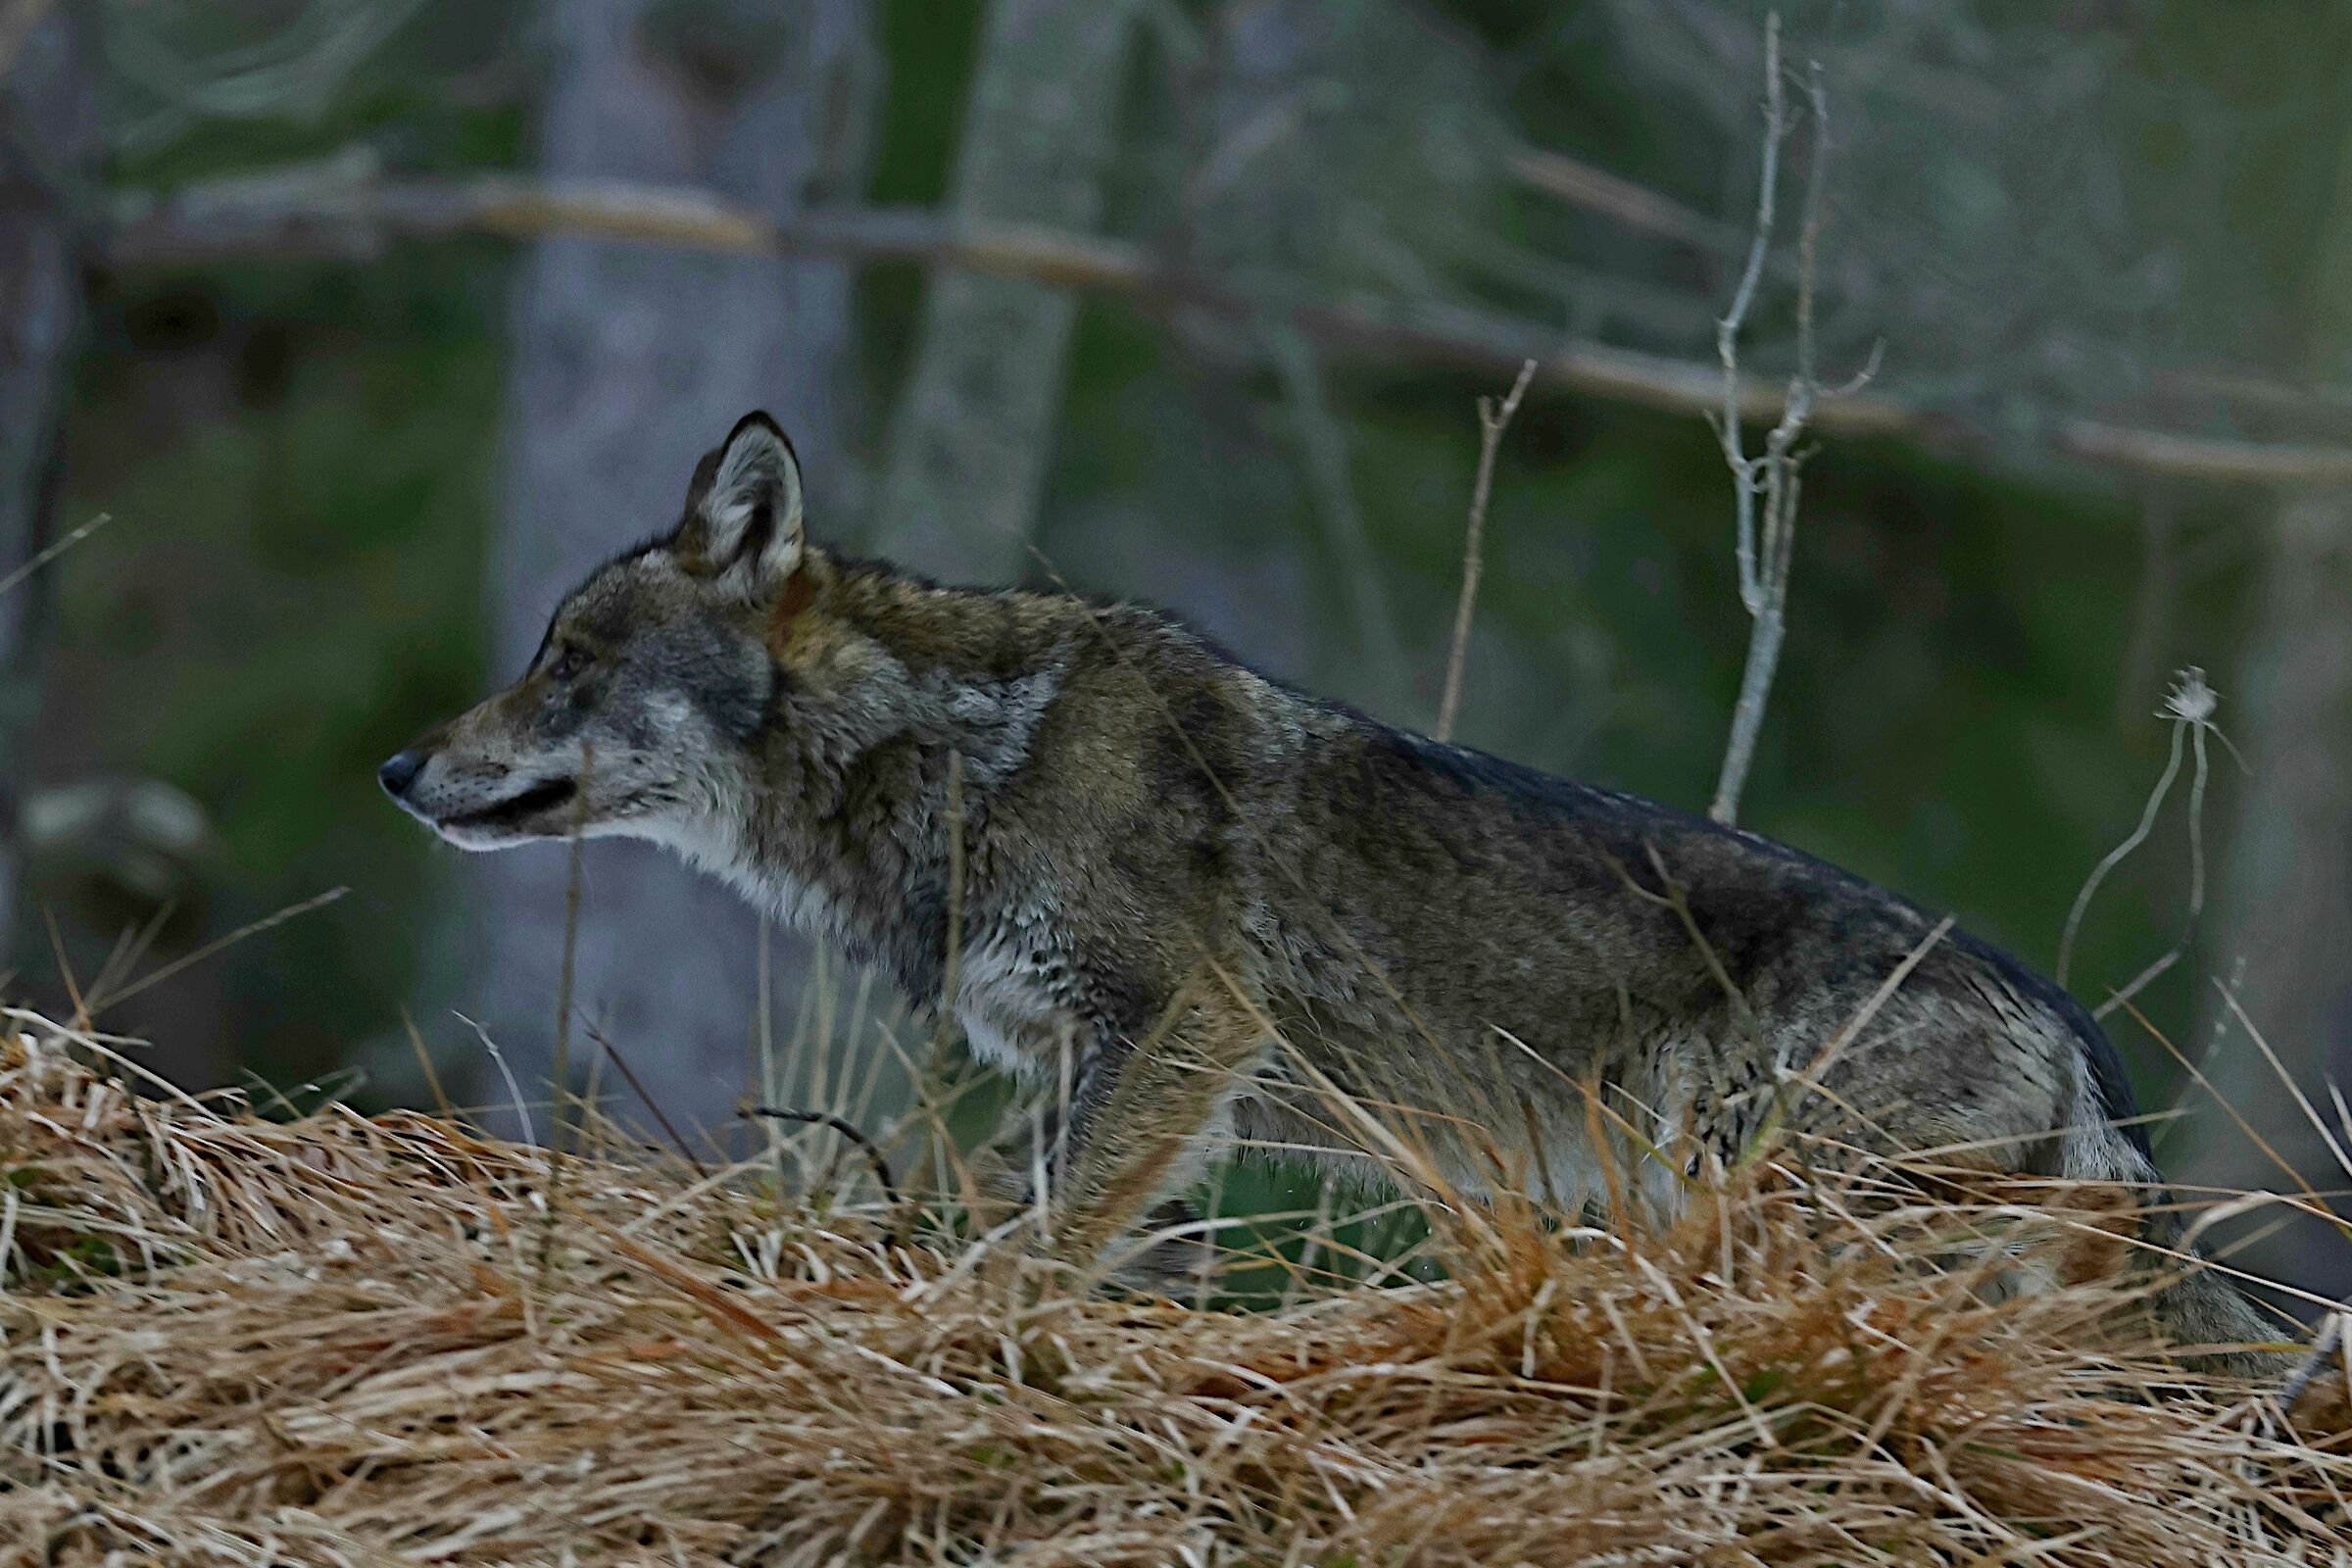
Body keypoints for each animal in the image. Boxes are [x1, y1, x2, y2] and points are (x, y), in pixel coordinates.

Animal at [383, 410, 2278, 1367]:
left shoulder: (1179, 1032)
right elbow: (1072, 1235)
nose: (400, 771)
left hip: (1761, 1209)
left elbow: (1034, 1243)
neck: (960, 759)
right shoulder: (1129, 1078)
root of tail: (2076, 1035)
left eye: (566, 662)